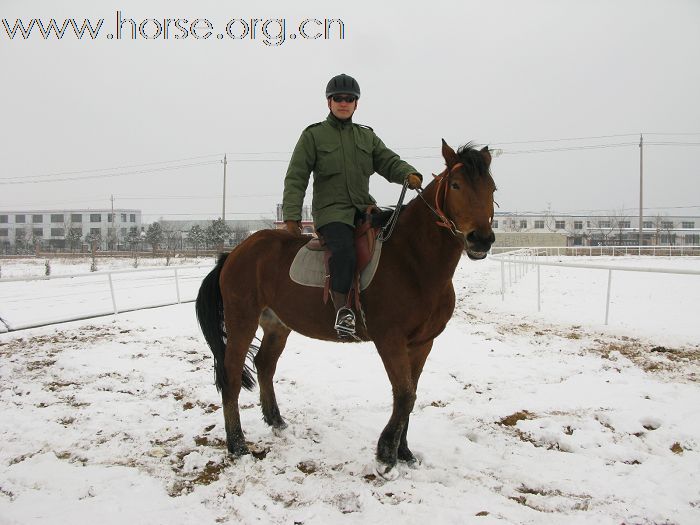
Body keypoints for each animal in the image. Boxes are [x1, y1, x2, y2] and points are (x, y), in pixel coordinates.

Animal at [194, 139, 494, 474]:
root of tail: (234, 253)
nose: (481, 239)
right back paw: (237, 444)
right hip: (242, 321)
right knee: (232, 375)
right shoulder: (390, 340)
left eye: (492, 188)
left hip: (277, 324)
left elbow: (411, 394)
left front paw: (403, 451)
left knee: (264, 365)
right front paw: (386, 453)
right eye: (456, 185)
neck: (412, 260)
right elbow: (404, 394)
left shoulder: (421, 343)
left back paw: (276, 420)